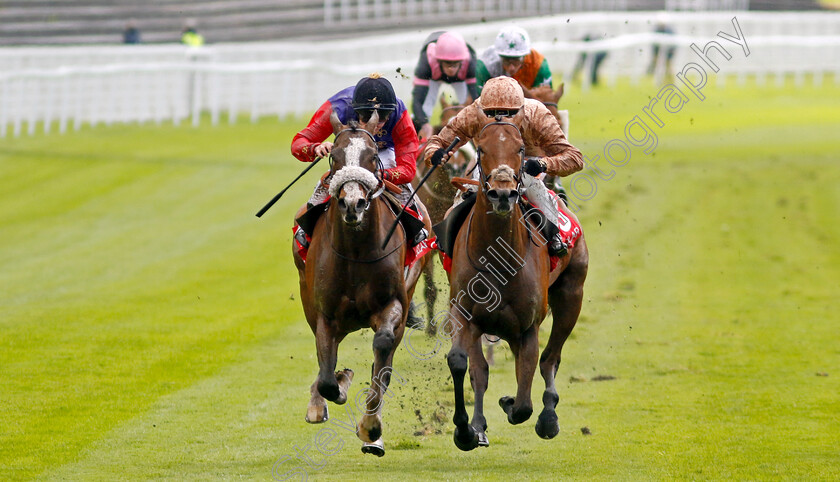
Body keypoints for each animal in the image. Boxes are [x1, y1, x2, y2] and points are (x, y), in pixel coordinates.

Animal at [292, 109, 430, 456]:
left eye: (372, 156)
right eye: (335, 157)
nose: (352, 203)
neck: (355, 250)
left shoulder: (393, 304)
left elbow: (382, 350)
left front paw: (370, 428)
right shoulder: (325, 313)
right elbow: (327, 374)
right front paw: (337, 385)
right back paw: (318, 402)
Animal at [442, 118, 588, 450]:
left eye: (520, 148)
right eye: (481, 149)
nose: (502, 194)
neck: (497, 257)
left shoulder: (527, 326)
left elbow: (523, 402)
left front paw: (513, 404)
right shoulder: (466, 314)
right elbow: (465, 365)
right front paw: (467, 430)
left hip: (571, 297)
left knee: (550, 359)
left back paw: (549, 416)